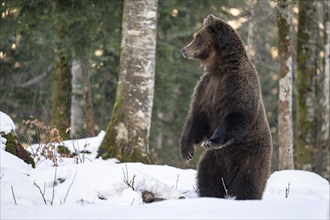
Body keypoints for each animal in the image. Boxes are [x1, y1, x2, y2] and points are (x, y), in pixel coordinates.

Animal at [179, 13, 272, 199]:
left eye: (197, 37)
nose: (184, 50)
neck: (220, 68)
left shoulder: (238, 84)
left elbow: (237, 115)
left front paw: (211, 141)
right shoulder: (206, 88)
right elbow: (197, 117)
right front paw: (187, 151)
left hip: (251, 156)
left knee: (249, 181)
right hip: (214, 161)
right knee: (207, 178)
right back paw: (209, 194)